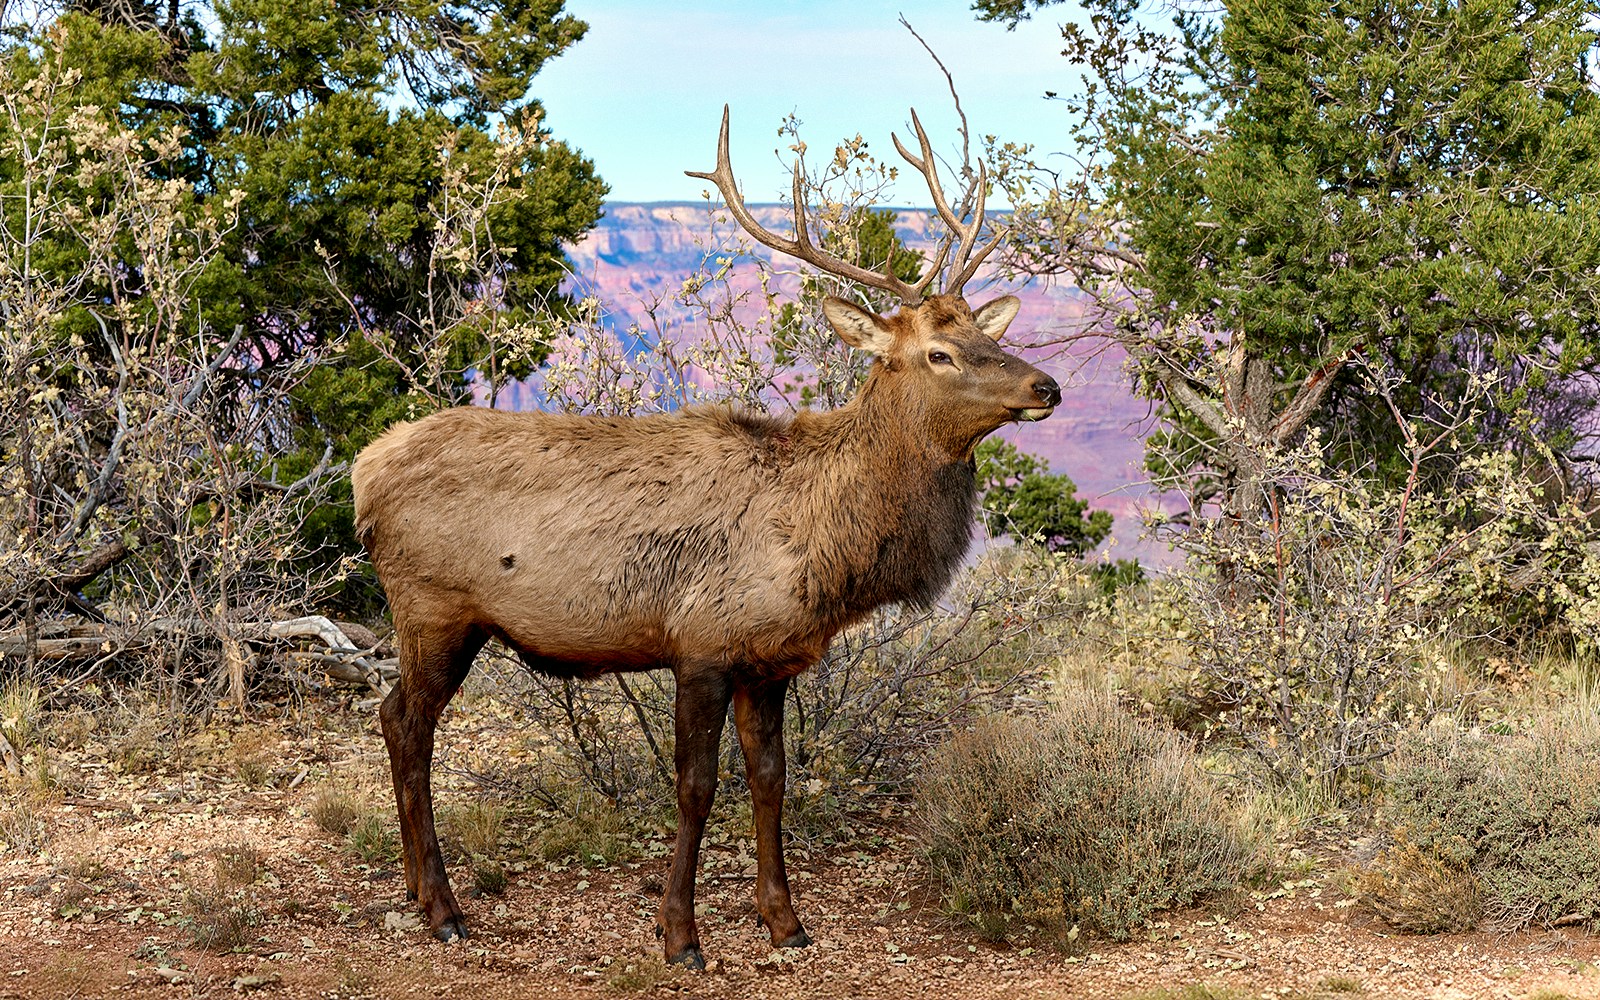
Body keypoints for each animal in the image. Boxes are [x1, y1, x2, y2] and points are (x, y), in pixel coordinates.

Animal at [350, 106, 1062, 970]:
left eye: (988, 337)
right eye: (940, 353)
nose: (1046, 386)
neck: (825, 545)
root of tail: (363, 472)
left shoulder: (771, 660)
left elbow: (770, 780)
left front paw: (785, 921)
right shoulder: (702, 643)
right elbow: (695, 787)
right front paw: (680, 935)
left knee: (394, 717)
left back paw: (419, 893)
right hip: (433, 606)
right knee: (403, 722)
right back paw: (443, 907)